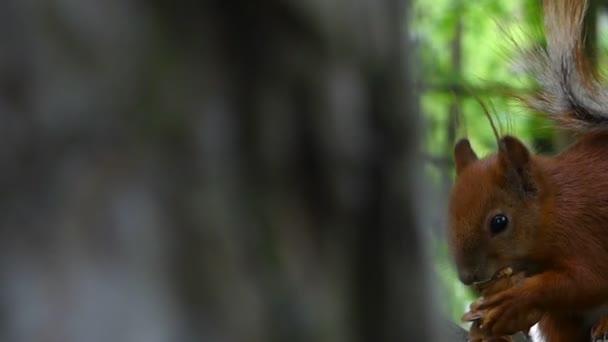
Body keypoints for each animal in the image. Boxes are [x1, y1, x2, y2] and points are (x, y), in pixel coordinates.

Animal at [446, 0, 608, 340]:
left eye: (499, 222)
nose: (468, 277)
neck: (556, 208)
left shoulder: (588, 234)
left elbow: (588, 279)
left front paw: (516, 298)